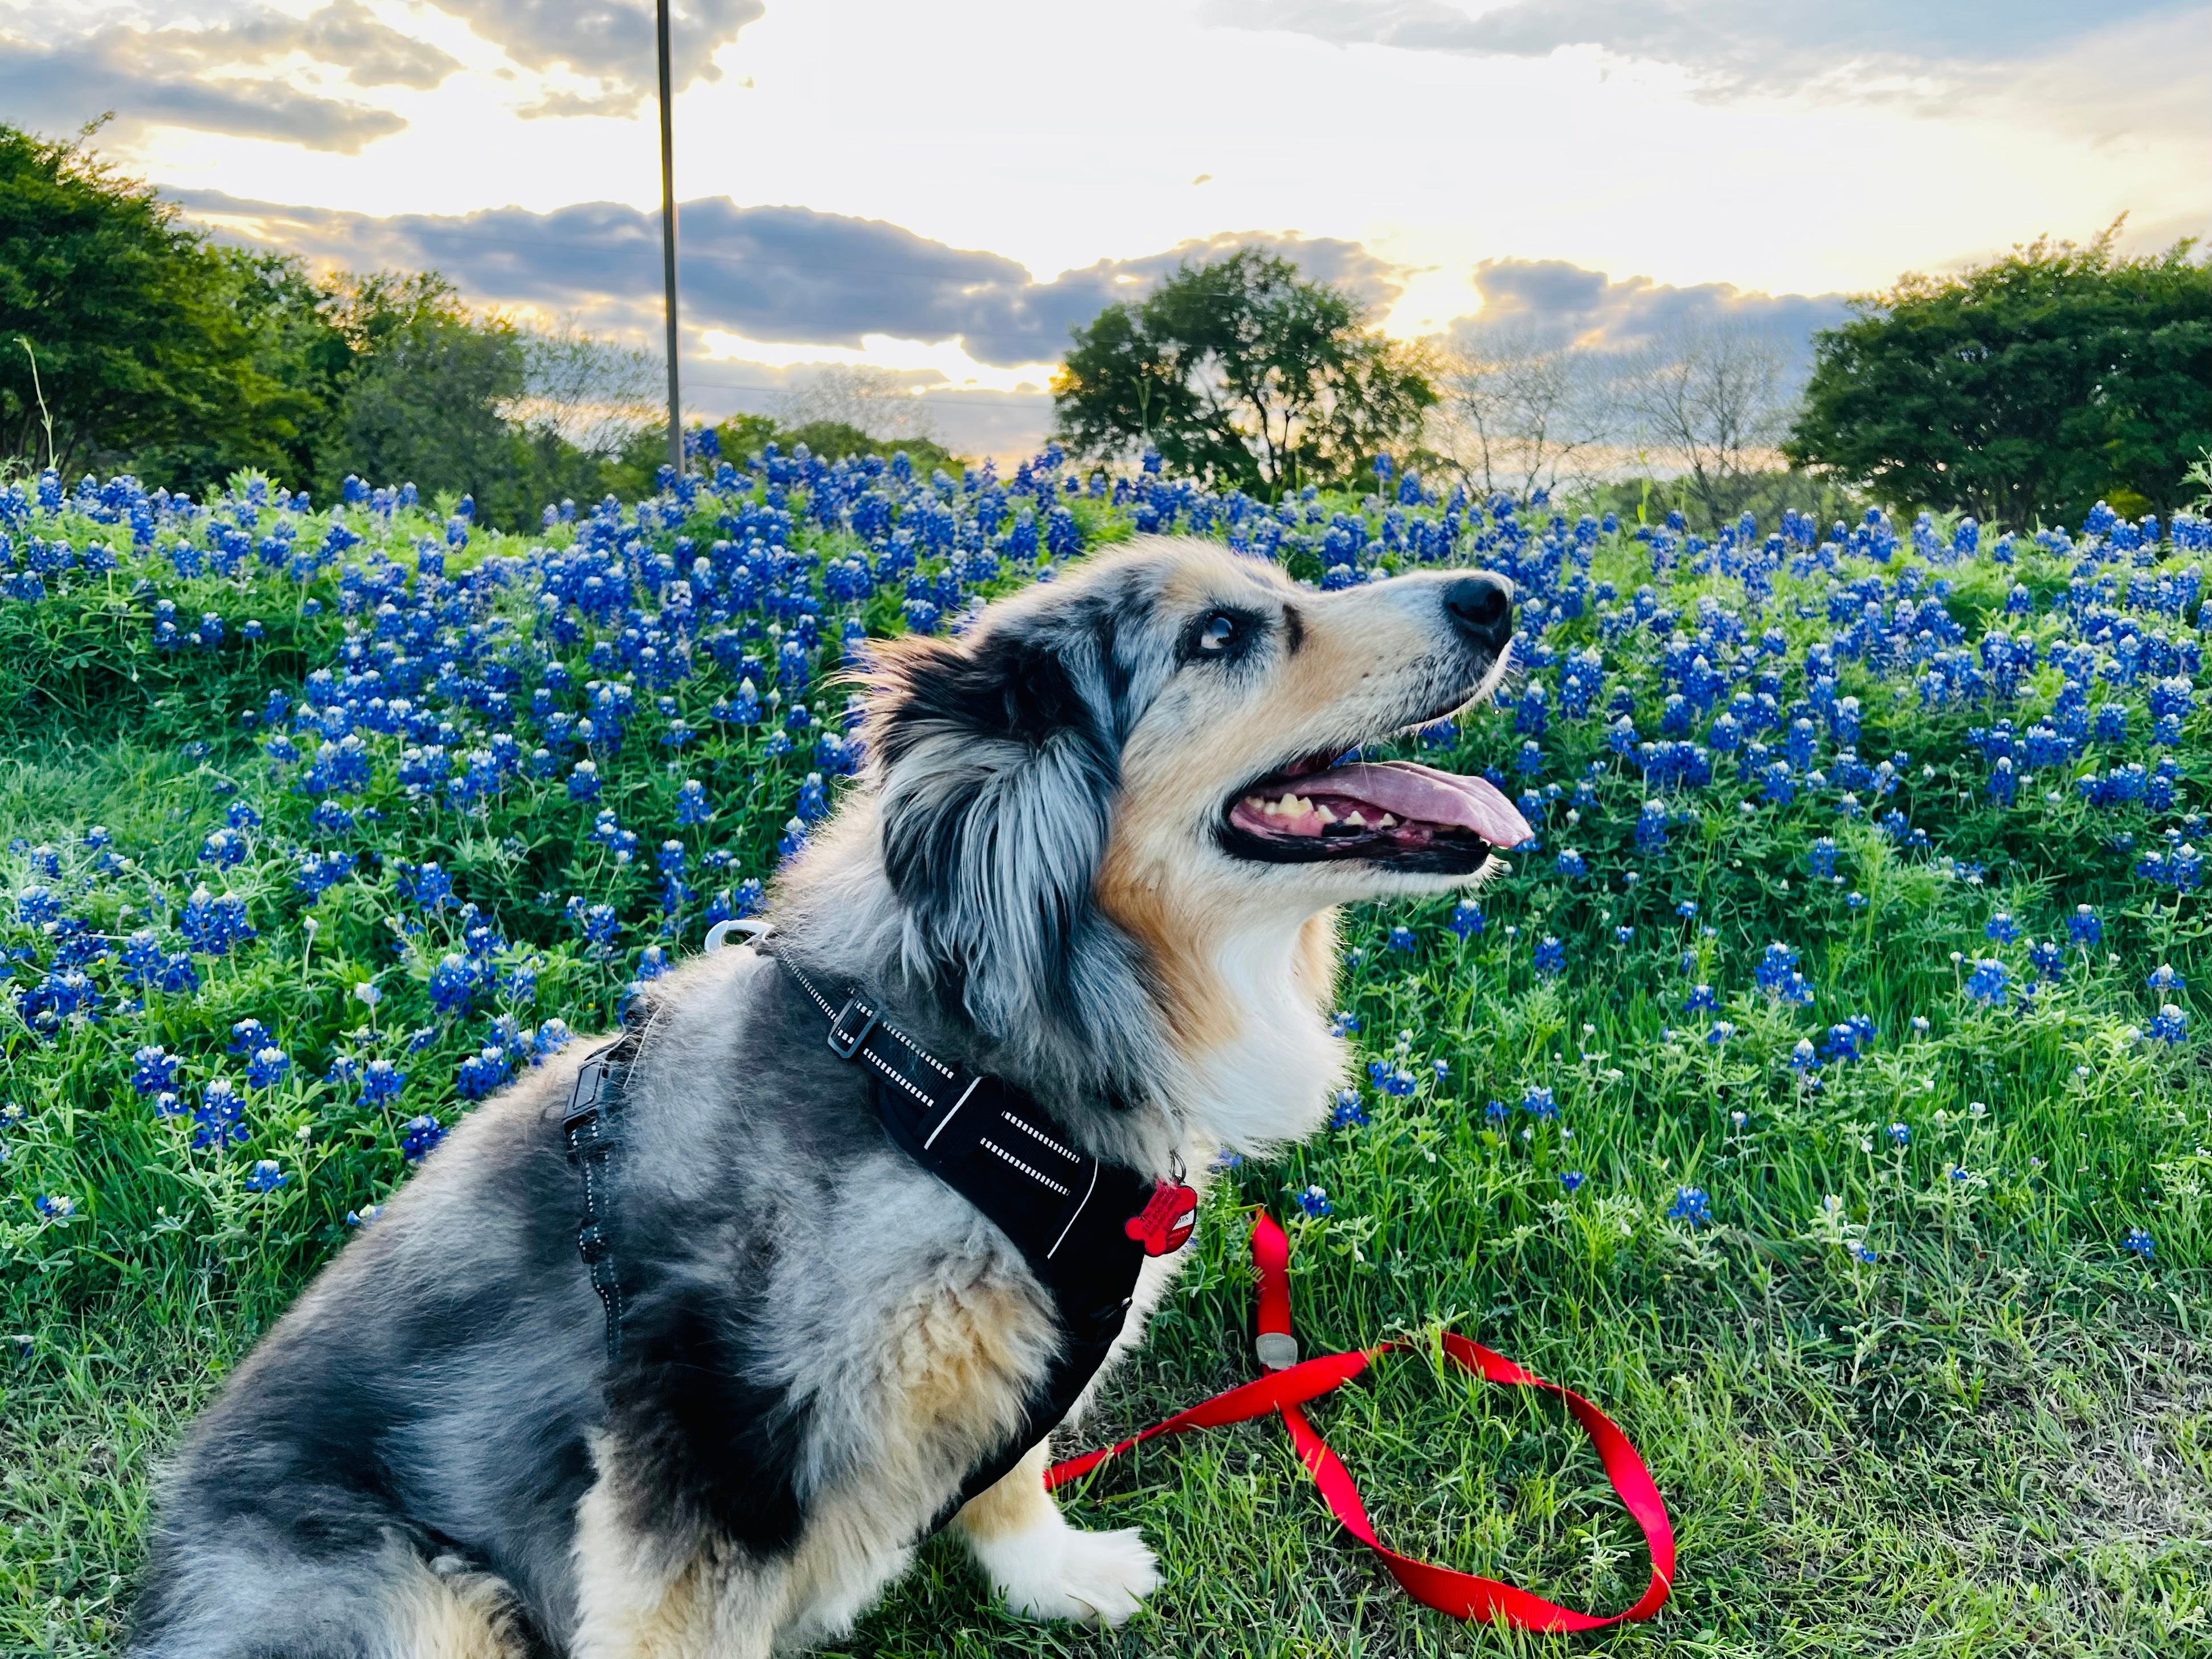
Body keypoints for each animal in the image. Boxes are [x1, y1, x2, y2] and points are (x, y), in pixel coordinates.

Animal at [129, 540, 1522, 1654]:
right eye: (1221, 635)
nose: (1496, 595)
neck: (955, 1065)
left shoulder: (1007, 1358)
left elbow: (1012, 1469)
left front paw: (1053, 1572)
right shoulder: (711, 1438)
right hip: (403, 1592)